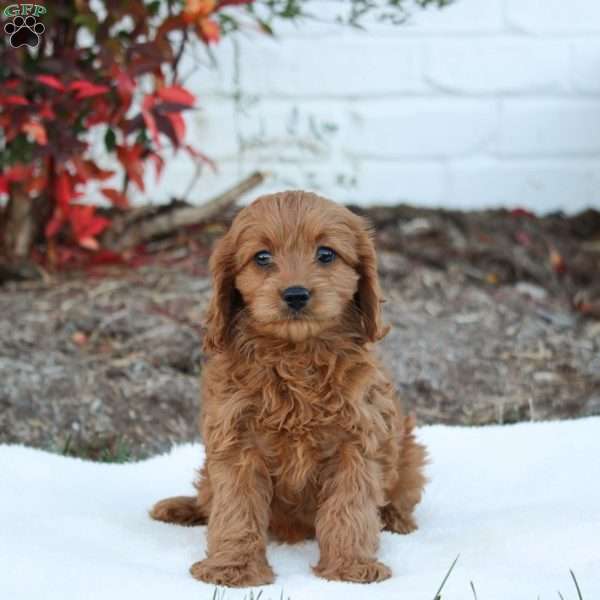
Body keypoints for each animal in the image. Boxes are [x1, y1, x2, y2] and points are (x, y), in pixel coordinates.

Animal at [152, 191, 428, 584]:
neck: (296, 355)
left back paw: (395, 519)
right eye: (262, 257)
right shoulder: (236, 441)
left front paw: (350, 566)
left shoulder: (357, 442)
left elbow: (350, 508)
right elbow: (236, 508)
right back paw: (183, 508)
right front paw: (232, 568)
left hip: (409, 455)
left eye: (326, 254)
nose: (296, 294)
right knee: (207, 498)